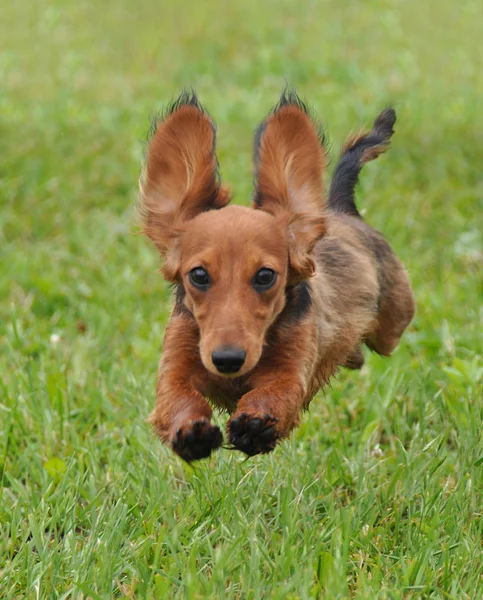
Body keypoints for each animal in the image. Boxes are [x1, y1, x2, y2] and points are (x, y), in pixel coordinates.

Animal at [137, 90, 416, 464]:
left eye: (265, 276)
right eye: (198, 275)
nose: (227, 360)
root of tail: (340, 209)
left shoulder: (291, 372)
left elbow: (275, 393)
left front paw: (254, 426)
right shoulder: (176, 361)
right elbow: (176, 396)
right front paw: (190, 431)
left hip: (393, 323)